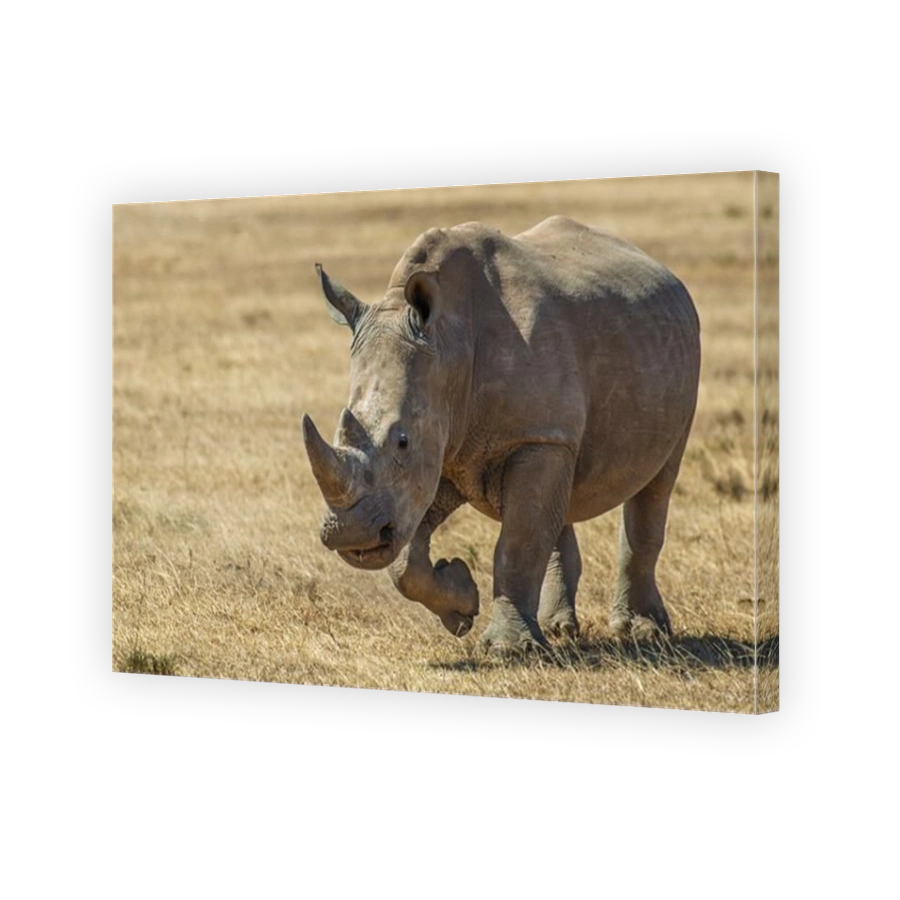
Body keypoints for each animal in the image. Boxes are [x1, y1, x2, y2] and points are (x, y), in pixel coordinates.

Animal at [302, 215, 700, 654]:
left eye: (403, 441)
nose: (349, 535)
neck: (450, 342)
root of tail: (664, 271)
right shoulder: (451, 449)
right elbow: (407, 557)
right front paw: (461, 603)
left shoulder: (530, 436)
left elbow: (518, 542)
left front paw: (507, 649)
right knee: (560, 499)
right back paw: (558, 628)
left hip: (676, 364)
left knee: (656, 483)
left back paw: (642, 633)